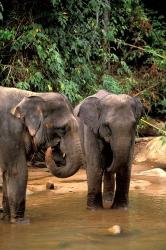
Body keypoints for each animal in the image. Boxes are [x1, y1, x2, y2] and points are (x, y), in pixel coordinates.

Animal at [0, 87, 83, 224]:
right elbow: (17, 171)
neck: (35, 95)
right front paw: (21, 223)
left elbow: (6, 173)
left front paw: (6, 219)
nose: (52, 148)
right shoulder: (10, 133)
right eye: (62, 128)